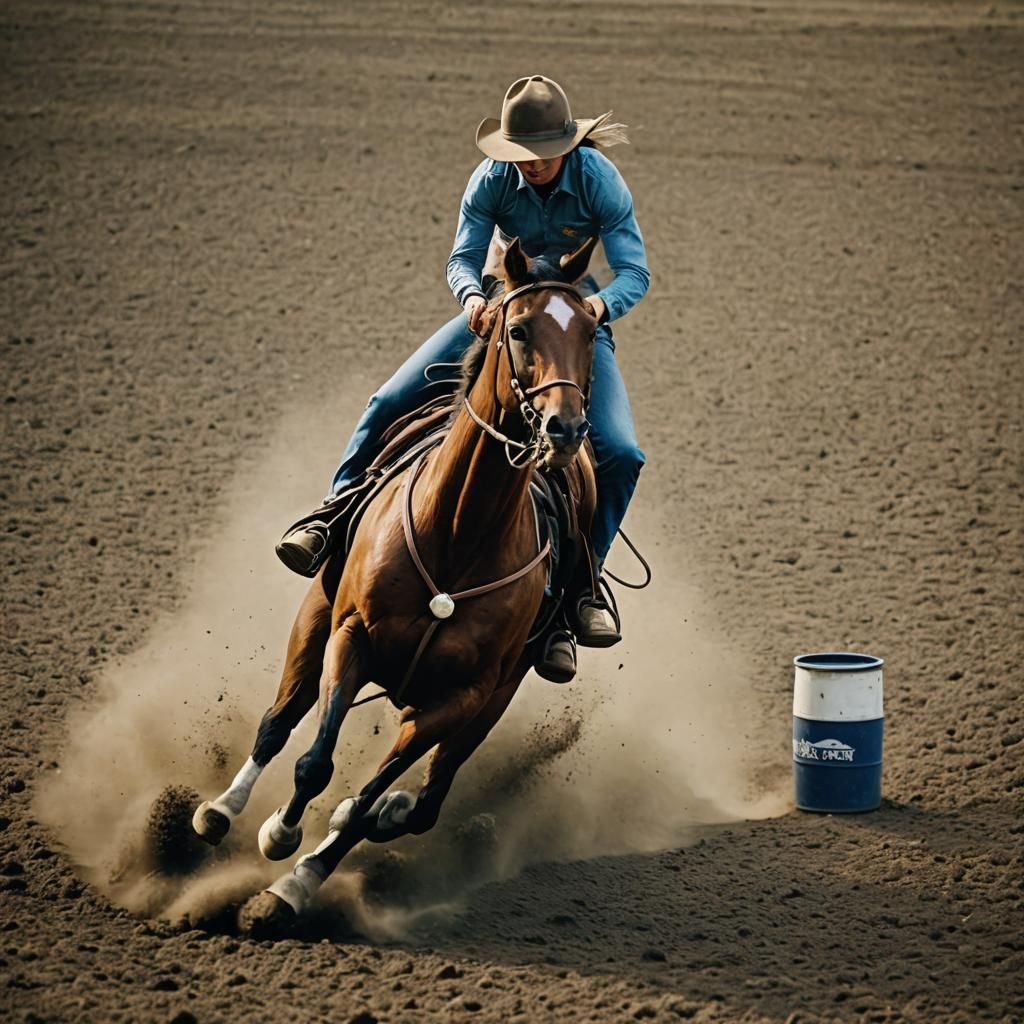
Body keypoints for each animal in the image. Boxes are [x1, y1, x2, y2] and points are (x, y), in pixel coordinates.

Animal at [191, 235, 600, 929]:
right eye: (518, 329)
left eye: (592, 332)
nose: (564, 429)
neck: (458, 533)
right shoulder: (351, 637)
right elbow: (313, 761)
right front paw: (279, 833)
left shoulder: (465, 695)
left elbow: (364, 800)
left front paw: (290, 888)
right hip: (315, 613)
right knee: (281, 719)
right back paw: (221, 810)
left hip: (496, 694)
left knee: (429, 796)